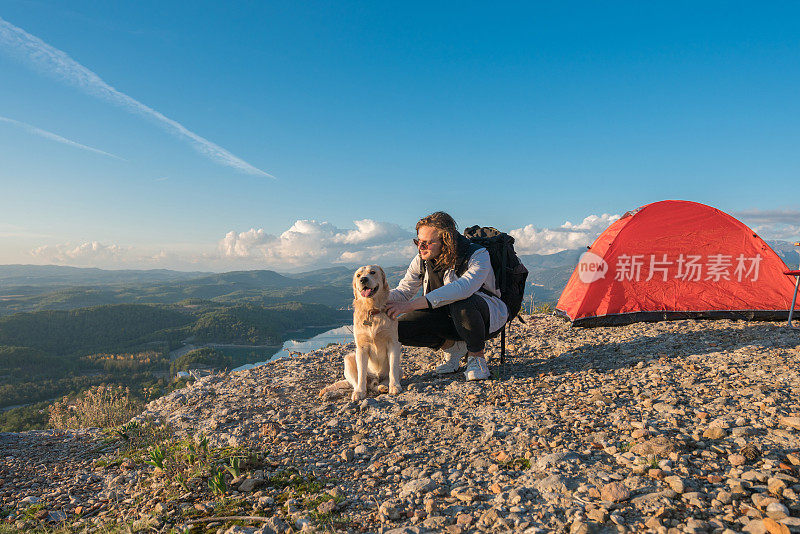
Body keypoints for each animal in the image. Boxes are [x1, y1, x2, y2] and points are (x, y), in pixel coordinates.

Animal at [320, 264, 404, 402]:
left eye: (373, 272)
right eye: (358, 275)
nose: (363, 279)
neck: (372, 310)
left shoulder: (393, 343)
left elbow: (393, 369)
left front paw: (395, 386)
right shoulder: (361, 348)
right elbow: (361, 374)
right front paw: (359, 392)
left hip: (397, 369)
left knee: (380, 381)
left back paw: (383, 387)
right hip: (348, 359)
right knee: (362, 382)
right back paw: (361, 389)